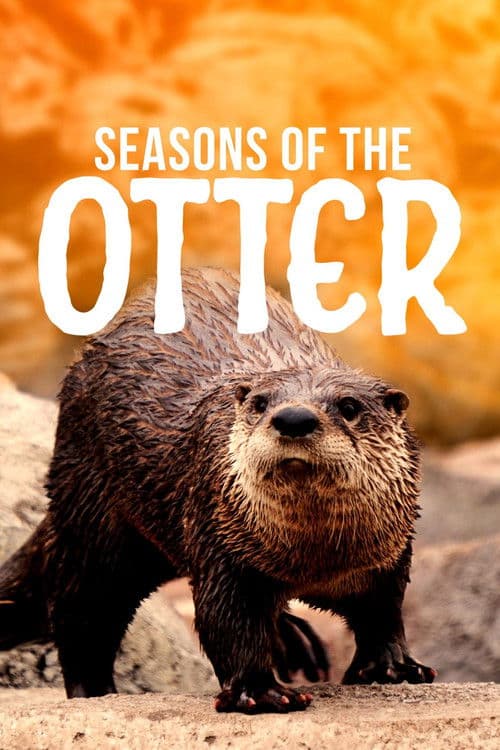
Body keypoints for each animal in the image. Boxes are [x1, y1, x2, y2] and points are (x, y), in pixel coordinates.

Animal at [0, 267, 435, 713]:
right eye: (259, 403)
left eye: (349, 407)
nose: (293, 418)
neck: (314, 560)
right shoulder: (222, 546)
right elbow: (227, 622)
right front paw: (260, 691)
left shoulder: (388, 556)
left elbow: (383, 611)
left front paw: (392, 667)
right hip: (95, 515)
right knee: (81, 606)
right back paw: (94, 691)